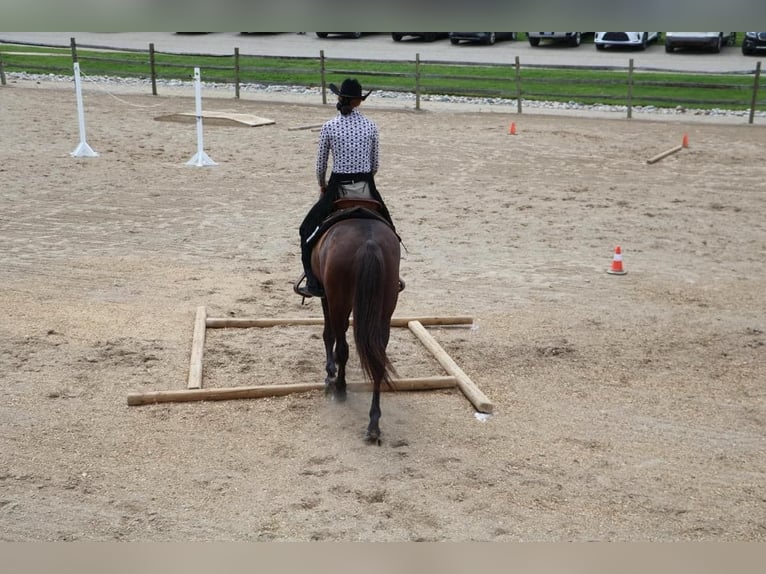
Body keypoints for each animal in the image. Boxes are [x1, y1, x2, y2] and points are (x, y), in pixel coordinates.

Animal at [310, 212, 401, 443]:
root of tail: (369, 242)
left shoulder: (326, 295)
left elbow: (329, 334)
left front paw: (330, 373)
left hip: (338, 299)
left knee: (343, 346)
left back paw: (341, 389)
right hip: (384, 308)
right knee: (378, 359)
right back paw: (373, 424)